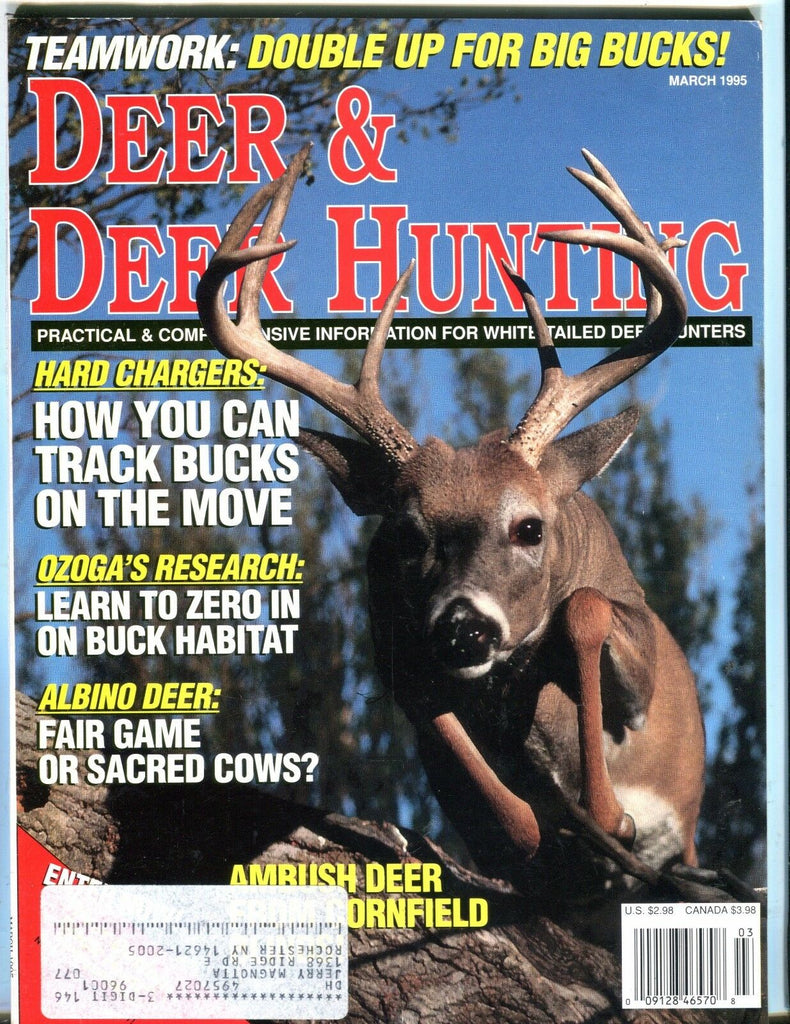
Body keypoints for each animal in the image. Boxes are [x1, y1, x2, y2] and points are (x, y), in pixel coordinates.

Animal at [195, 144, 706, 900]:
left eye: (530, 527)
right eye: (407, 535)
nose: (465, 628)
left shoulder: (642, 647)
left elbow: (584, 607)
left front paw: (609, 815)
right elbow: (436, 718)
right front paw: (551, 834)